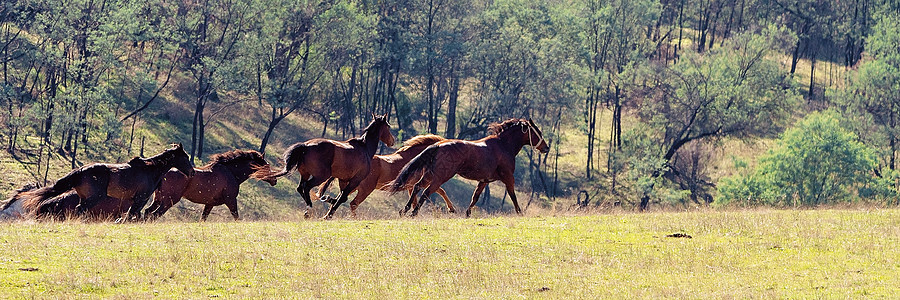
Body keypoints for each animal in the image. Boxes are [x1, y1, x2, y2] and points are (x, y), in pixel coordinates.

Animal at [16, 143, 195, 220]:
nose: (192, 172)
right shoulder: (140, 199)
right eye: (185, 157)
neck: (150, 170)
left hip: (85, 197)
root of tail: (80, 171)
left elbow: (134, 215)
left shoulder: (136, 201)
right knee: (80, 210)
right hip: (95, 197)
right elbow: (132, 215)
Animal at [144, 149, 276, 220]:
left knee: (147, 212)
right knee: (154, 215)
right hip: (169, 201)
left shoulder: (209, 204)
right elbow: (236, 217)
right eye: (266, 166)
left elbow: (203, 219)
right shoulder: (231, 200)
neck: (231, 172)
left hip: (158, 199)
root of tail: (164, 173)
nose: (275, 180)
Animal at [318, 135, 458, 217]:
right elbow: (439, 191)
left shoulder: (412, 186)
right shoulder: (420, 183)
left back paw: (328, 208)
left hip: (353, 186)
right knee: (351, 203)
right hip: (364, 189)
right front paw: (452, 209)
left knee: (340, 199)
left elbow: (417, 199)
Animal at [392, 118, 552, 218]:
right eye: (537, 132)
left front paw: (468, 213)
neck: (503, 145)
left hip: (430, 175)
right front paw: (519, 212)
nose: (546, 148)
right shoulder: (508, 177)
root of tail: (437, 145)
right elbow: (513, 195)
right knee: (426, 191)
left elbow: (475, 196)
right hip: (441, 176)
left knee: (417, 187)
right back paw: (414, 212)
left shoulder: (485, 180)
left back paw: (404, 210)